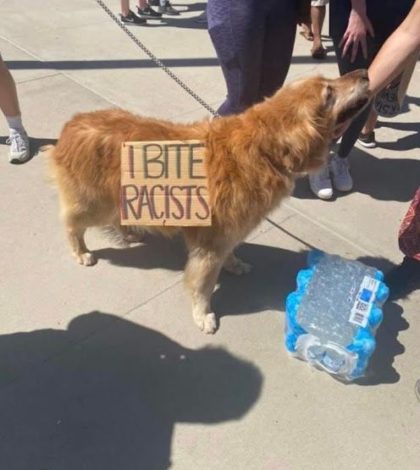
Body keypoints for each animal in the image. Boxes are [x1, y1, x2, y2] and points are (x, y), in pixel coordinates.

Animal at [46, 69, 370, 334]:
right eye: (328, 93)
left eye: (330, 82)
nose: (365, 72)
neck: (263, 150)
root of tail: (72, 124)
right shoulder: (209, 245)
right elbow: (202, 285)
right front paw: (203, 314)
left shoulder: (227, 234)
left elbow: (230, 253)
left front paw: (234, 264)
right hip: (95, 205)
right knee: (71, 224)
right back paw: (81, 251)